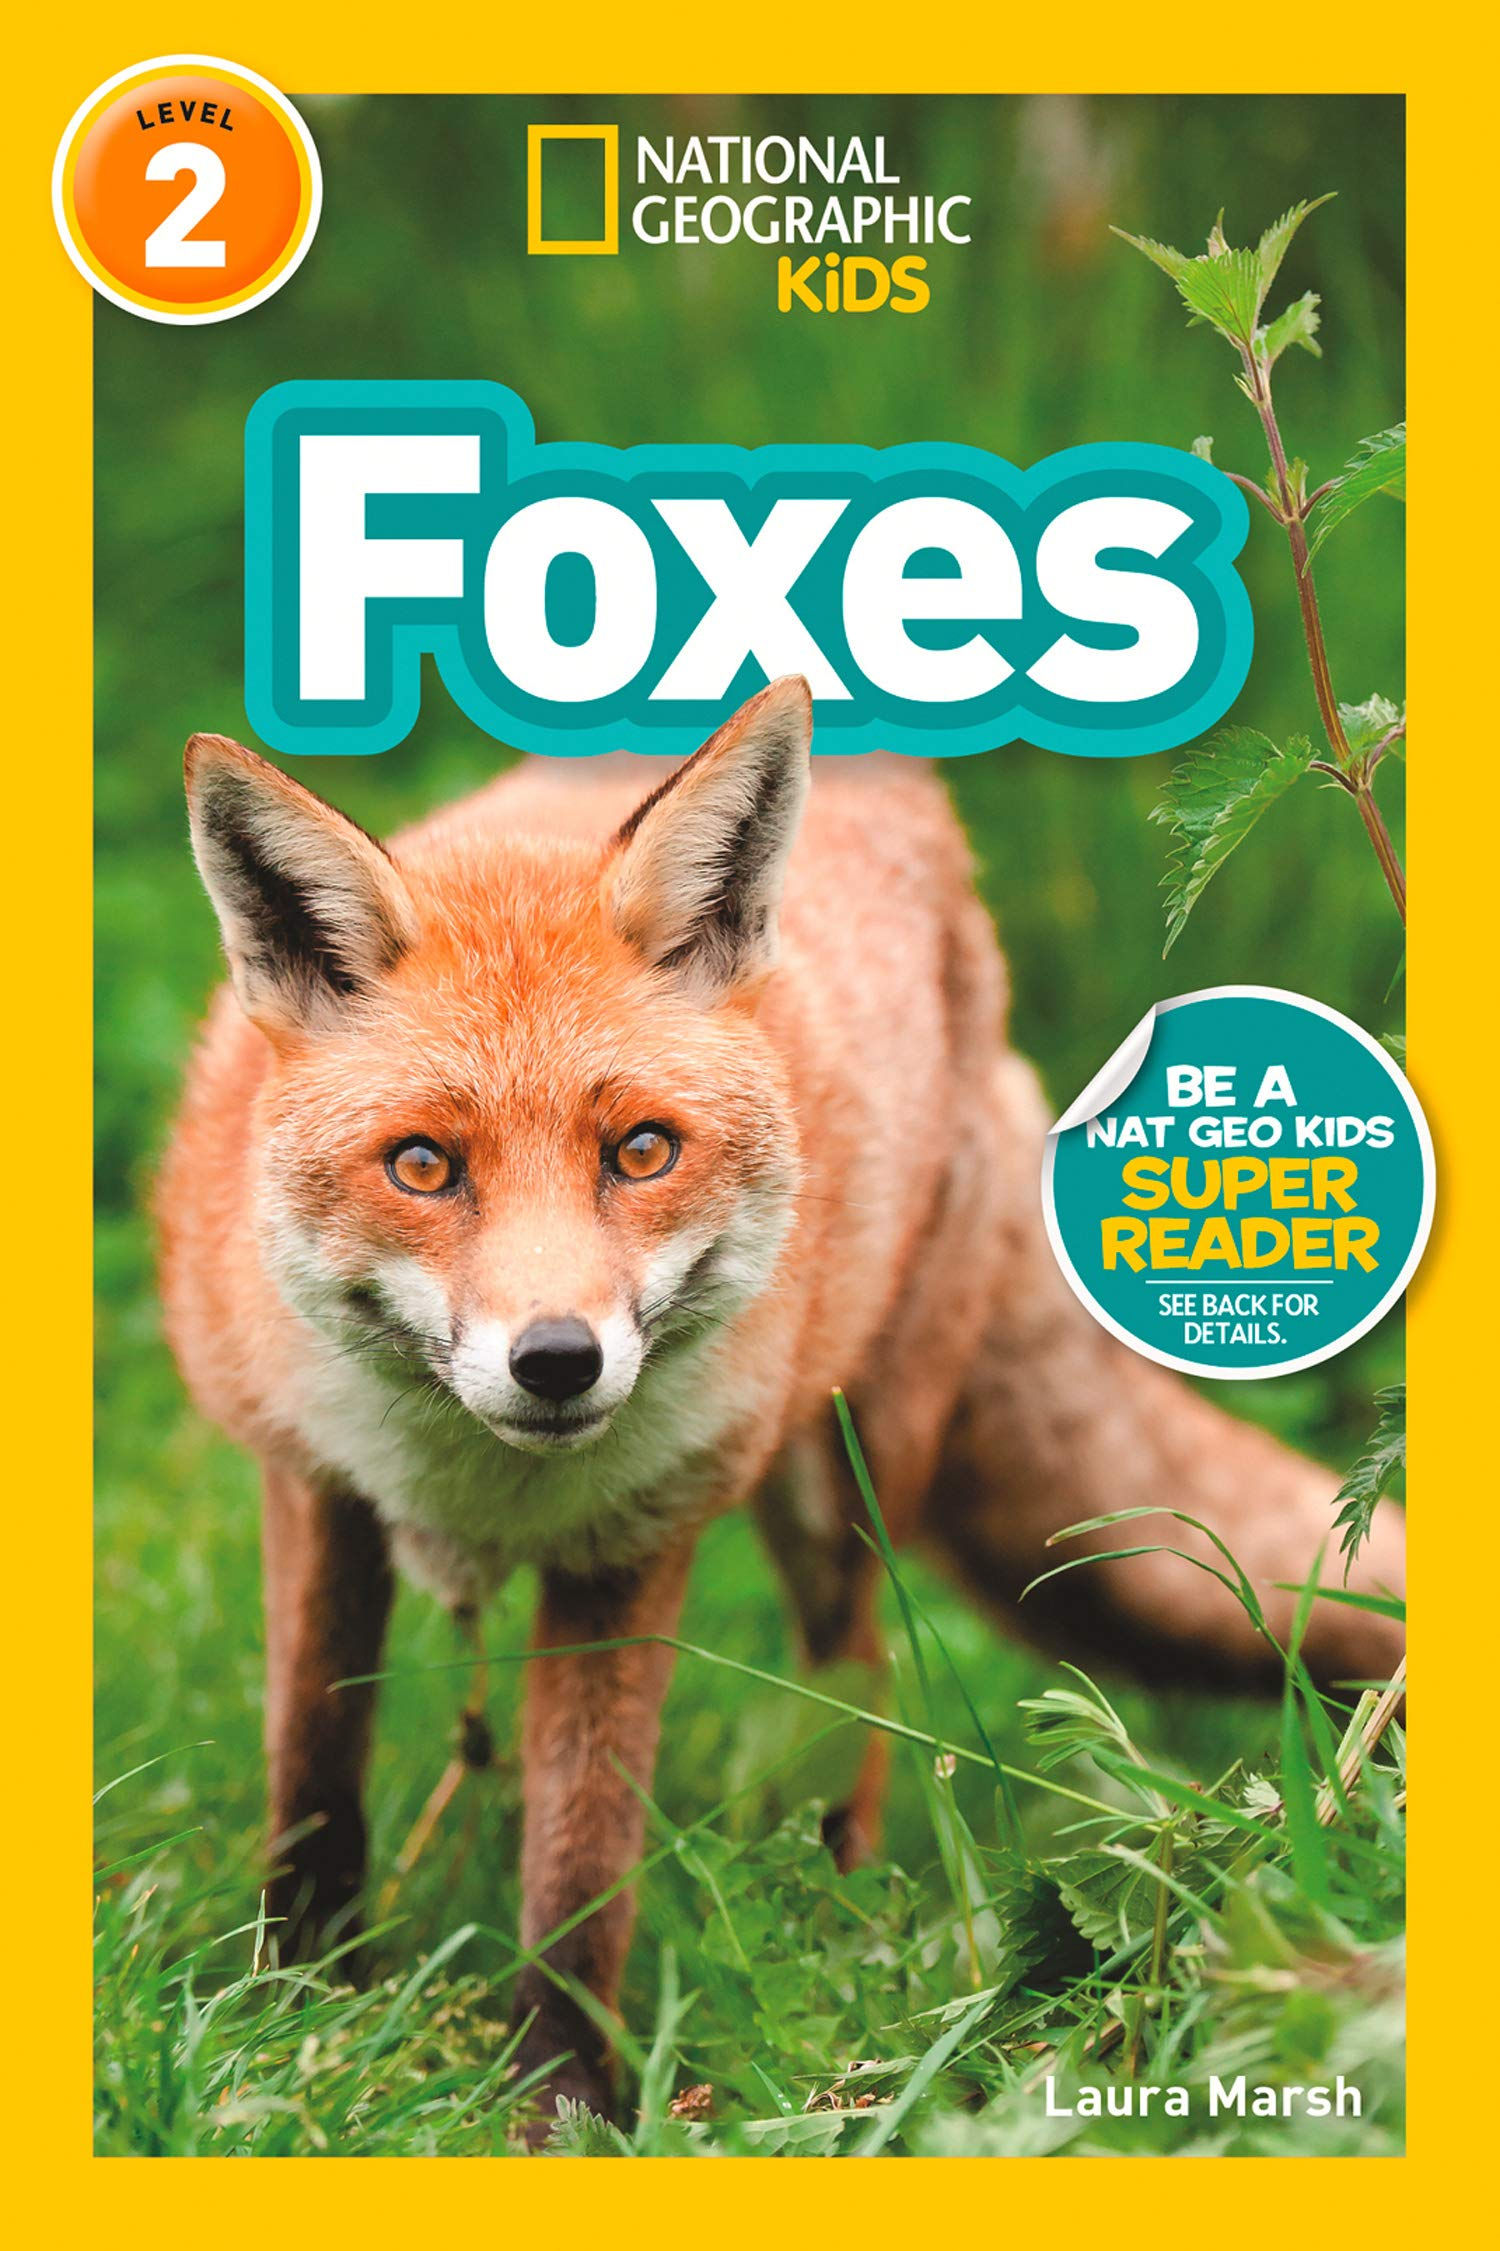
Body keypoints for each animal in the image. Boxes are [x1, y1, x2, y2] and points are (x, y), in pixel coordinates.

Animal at [160, 674, 1404, 2125]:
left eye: (642, 1150)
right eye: (422, 1165)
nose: (557, 1360)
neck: (474, 1478)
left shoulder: (632, 1547)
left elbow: (581, 1867)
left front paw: (561, 2106)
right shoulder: (316, 1484)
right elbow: (312, 1772)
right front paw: (291, 2009)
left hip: (846, 1477)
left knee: (857, 1688)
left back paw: (847, 1924)